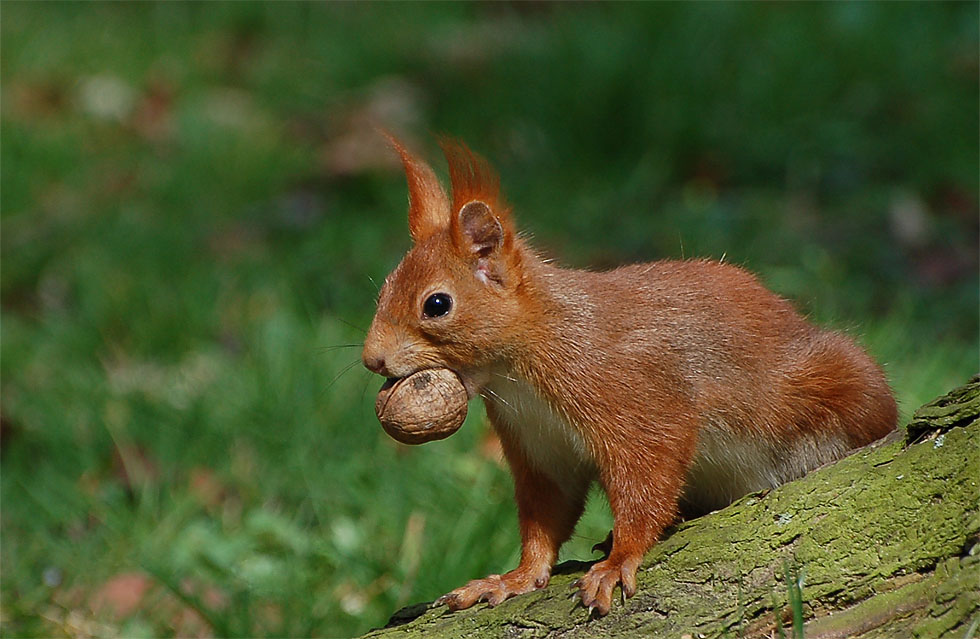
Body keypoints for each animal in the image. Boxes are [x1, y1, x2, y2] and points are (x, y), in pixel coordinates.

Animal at [360, 135, 896, 616]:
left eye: (436, 304)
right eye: (383, 288)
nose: (371, 360)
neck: (520, 369)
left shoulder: (630, 393)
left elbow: (648, 478)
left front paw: (619, 561)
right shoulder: (540, 445)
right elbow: (546, 513)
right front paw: (514, 578)